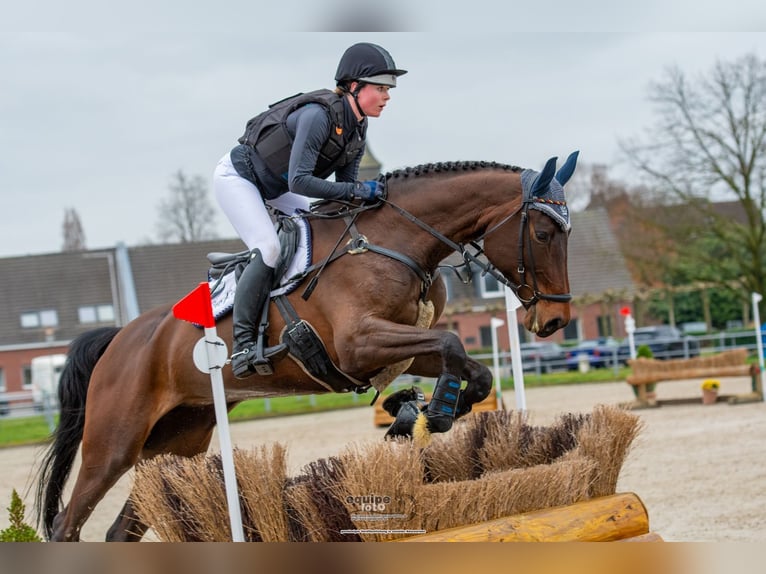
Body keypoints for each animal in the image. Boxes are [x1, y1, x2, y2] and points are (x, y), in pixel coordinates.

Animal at [33, 151, 580, 544]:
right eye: (542, 232)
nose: (555, 321)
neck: (395, 239)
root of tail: (119, 338)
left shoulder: (396, 348)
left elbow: (470, 365)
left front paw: (422, 412)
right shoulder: (358, 346)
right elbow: (450, 341)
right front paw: (430, 411)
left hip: (176, 445)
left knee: (120, 528)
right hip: (114, 444)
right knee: (67, 523)